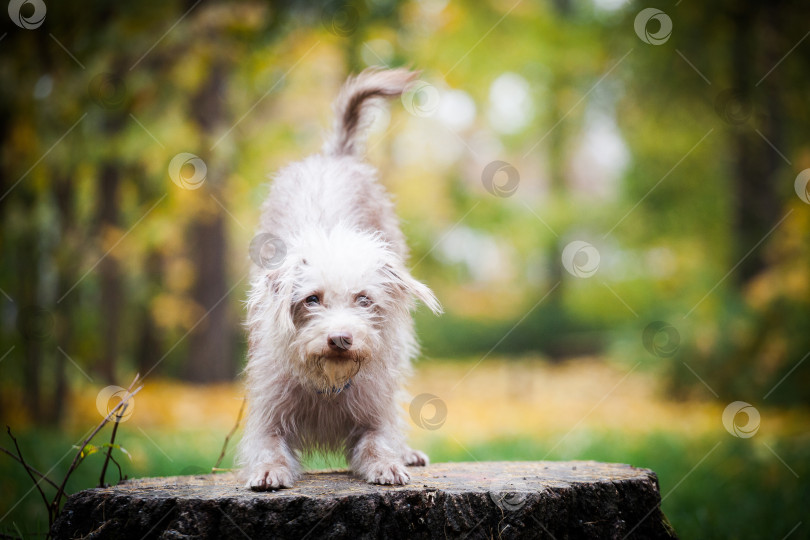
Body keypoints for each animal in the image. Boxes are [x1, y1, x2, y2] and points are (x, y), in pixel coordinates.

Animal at [238, 67, 442, 490]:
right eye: (312, 299)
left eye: (363, 299)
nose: (340, 338)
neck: (328, 382)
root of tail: (334, 156)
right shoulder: (267, 415)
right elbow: (267, 446)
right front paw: (268, 469)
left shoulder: (374, 412)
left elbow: (379, 440)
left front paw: (389, 461)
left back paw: (407, 452)